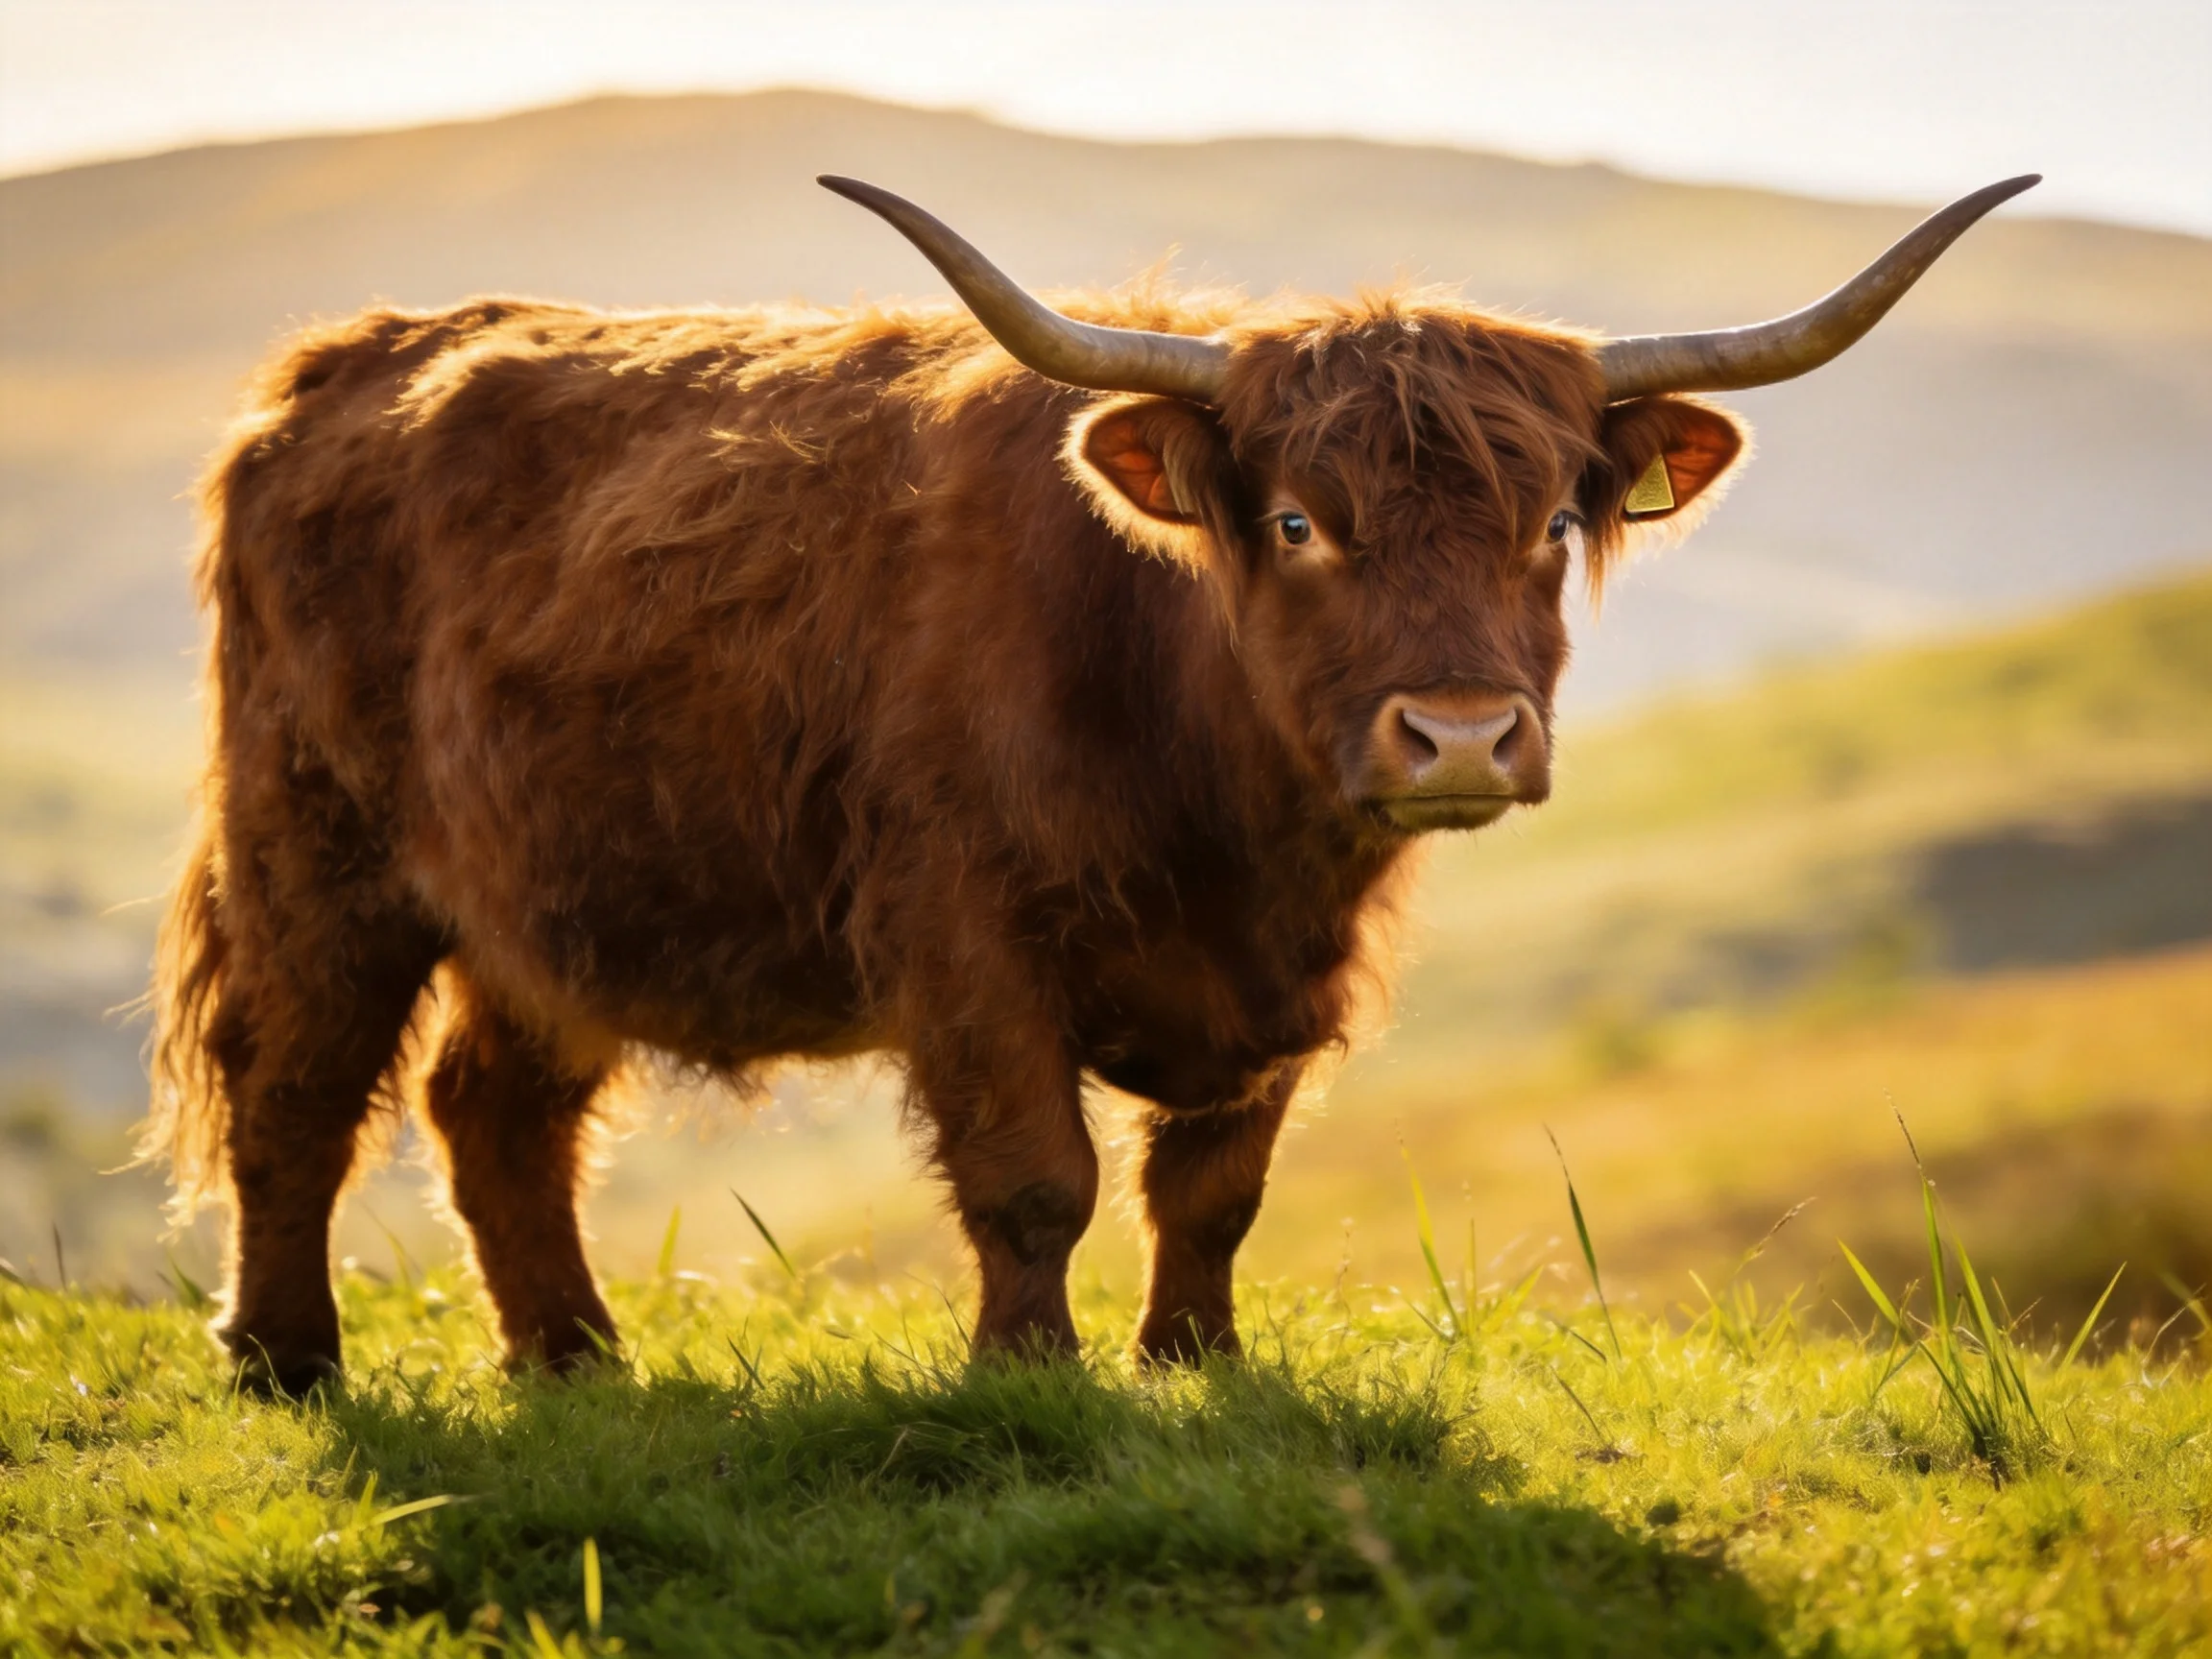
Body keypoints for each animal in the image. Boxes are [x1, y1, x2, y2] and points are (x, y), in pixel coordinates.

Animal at [140, 170, 2037, 1391]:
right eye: (1298, 522)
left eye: (1550, 525)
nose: (1457, 734)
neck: (1223, 813)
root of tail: (350, 358)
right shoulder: (964, 931)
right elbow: (1034, 1170)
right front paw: (1029, 1379)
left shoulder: (1282, 983)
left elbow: (1214, 1186)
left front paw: (1194, 1364)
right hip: (315, 843)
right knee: (294, 1083)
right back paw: (286, 1357)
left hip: (554, 895)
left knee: (495, 1112)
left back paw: (574, 1360)